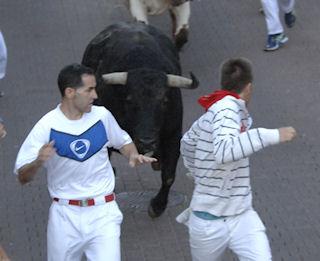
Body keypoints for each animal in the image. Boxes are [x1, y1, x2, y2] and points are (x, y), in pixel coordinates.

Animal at [82, 22, 198, 216]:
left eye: (164, 101)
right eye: (130, 99)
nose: (147, 142)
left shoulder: (173, 135)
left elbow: (169, 175)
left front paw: (157, 206)